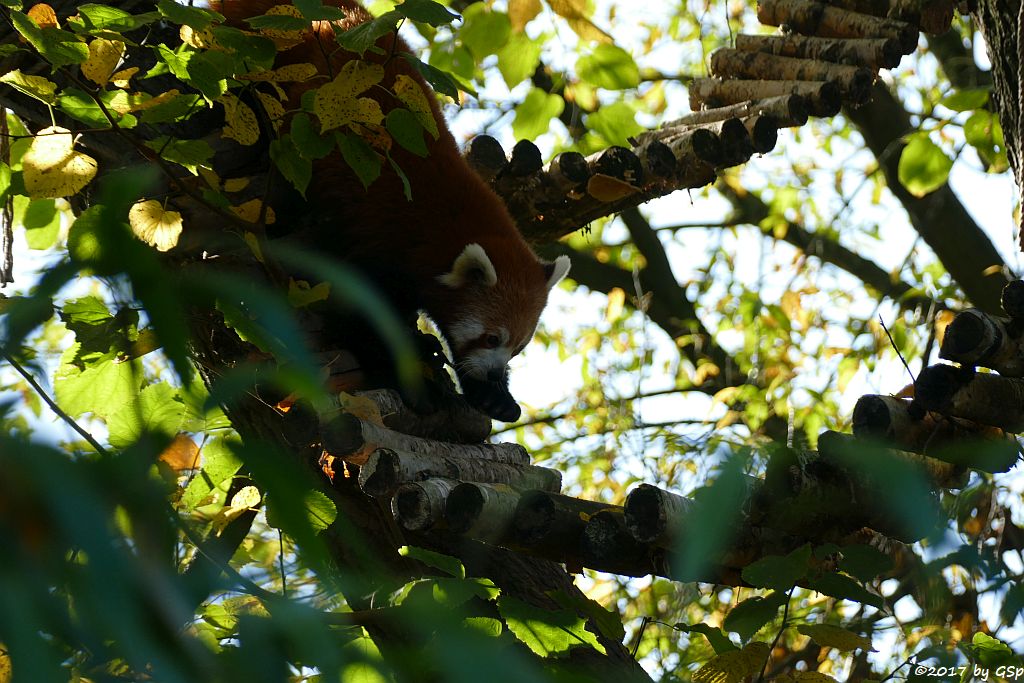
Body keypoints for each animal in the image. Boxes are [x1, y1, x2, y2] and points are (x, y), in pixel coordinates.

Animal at [207, 0, 569, 421]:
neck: (446, 220)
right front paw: (413, 382)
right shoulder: (378, 235)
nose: (496, 373)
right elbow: (360, 310)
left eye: (518, 346)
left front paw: (491, 394)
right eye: (491, 336)